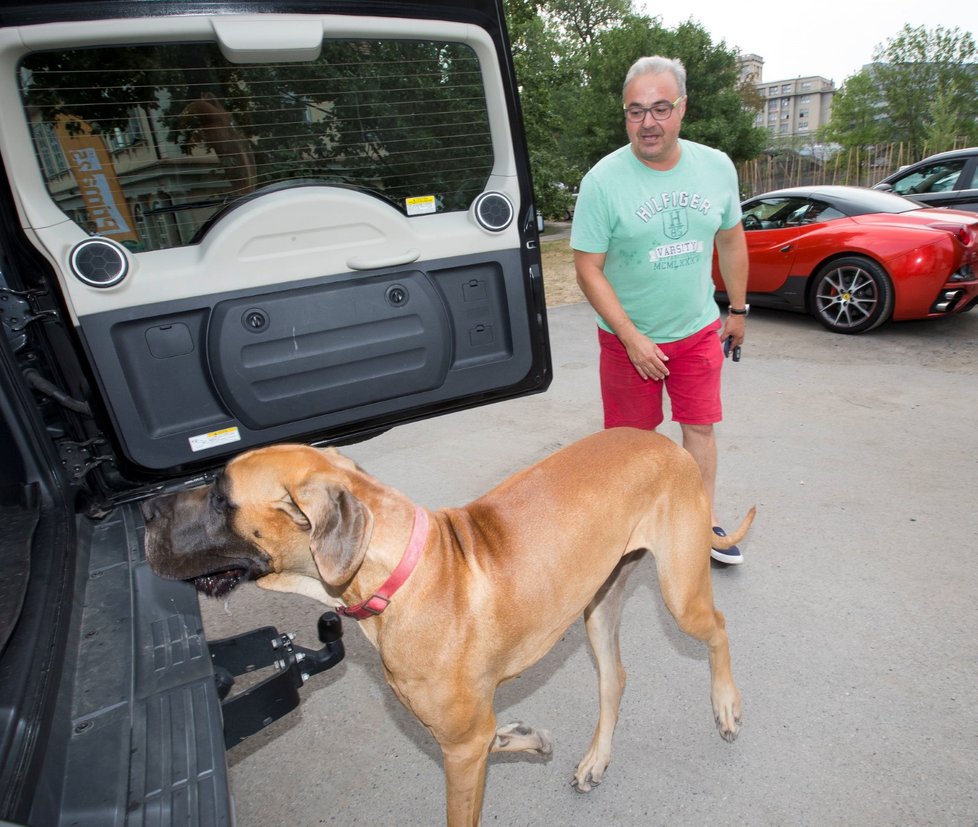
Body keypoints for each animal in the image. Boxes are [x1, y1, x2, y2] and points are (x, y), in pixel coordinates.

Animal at [141, 430, 752, 824]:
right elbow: (499, 733)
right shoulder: (467, 734)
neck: (399, 572)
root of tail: (669, 444)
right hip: (597, 601)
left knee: (721, 627)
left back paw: (726, 704)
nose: (144, 514)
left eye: (221, 498)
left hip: (680, 592)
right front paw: (527, 737)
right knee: (615, 678)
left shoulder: (461, 746)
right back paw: (595, 758)